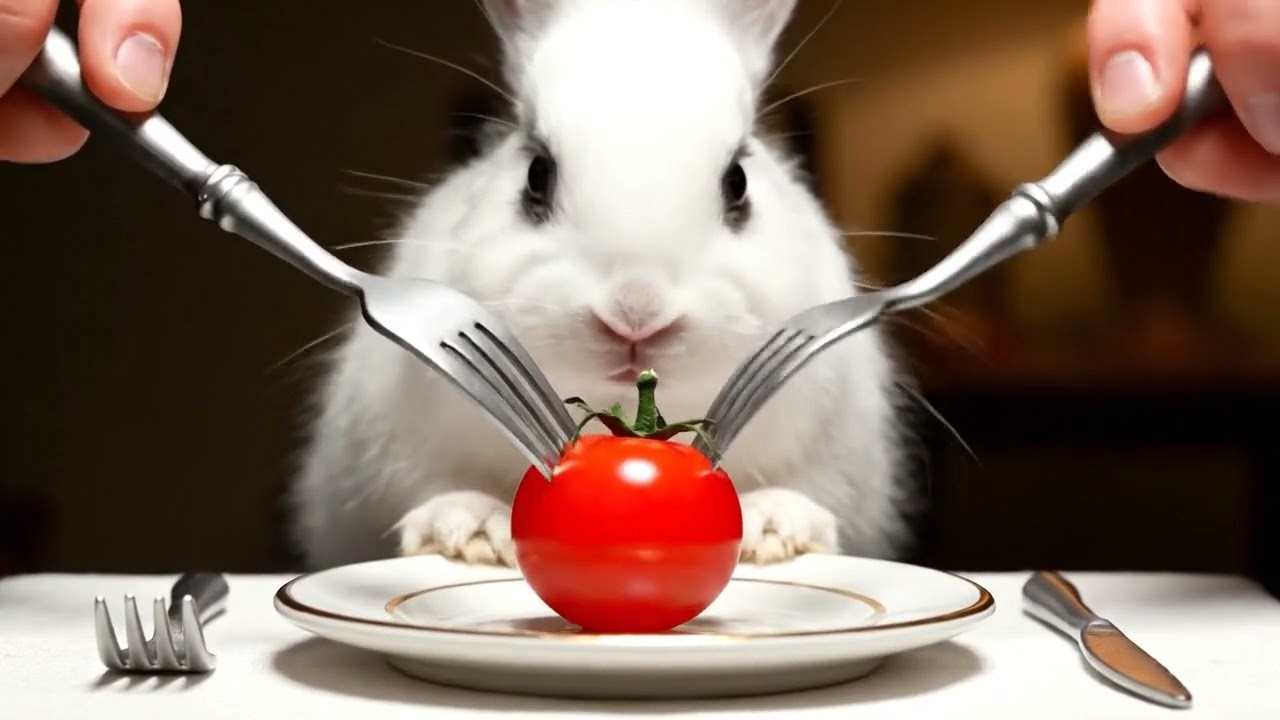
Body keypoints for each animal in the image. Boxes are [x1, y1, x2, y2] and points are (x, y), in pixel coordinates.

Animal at [286, 0, 915, 571]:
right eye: (536, 175)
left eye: (738, 182)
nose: (636, 311)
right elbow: (440, 486)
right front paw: (467, 532)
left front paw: (778, 528)